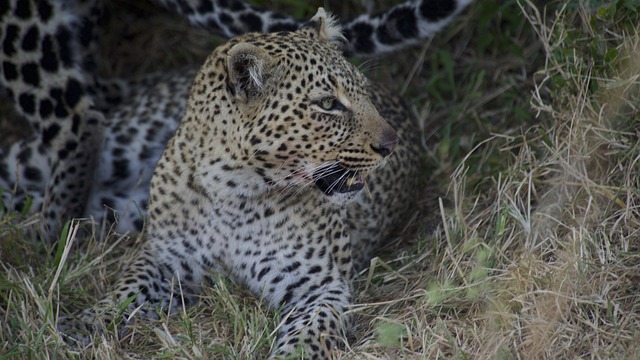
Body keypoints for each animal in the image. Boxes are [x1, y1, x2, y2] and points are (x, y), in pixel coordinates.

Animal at [57, 9, 422, 358]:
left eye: (364, 92)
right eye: (327, 103)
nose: (391, 144)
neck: (233, 193)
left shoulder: (322, 287)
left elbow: (307, 337)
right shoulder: (163, 258)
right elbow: (123, 293)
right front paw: (83, 324)